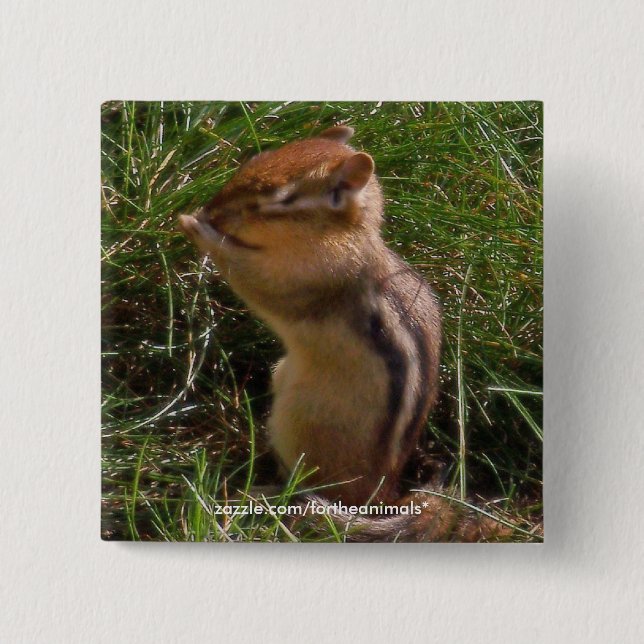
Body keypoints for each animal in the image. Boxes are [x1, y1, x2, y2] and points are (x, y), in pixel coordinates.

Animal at [179, 125, 512, 542]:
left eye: (280, 199)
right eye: (255, 159)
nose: (212, 210)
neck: (344, 234)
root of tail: (382, 494)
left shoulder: (304, 280)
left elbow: (252, 281)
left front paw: (197, 228)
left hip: (299, 426)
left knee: (311, 489)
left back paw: (263, 493)